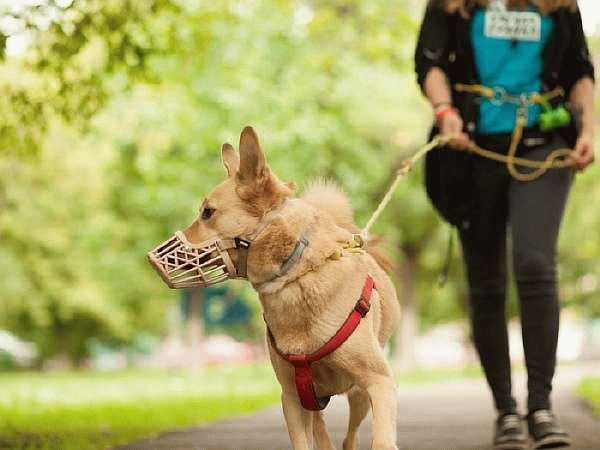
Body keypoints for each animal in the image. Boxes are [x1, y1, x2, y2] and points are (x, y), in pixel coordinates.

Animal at [162, 127, 400, 450]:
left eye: (208, 212)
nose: (153, 257)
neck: (295, 275)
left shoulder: (379, 382)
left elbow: (382, 439)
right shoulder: (292, 398)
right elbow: (303, 442)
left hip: (359, 396)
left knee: (349, 436)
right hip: (313, 398)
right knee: (323, 434)